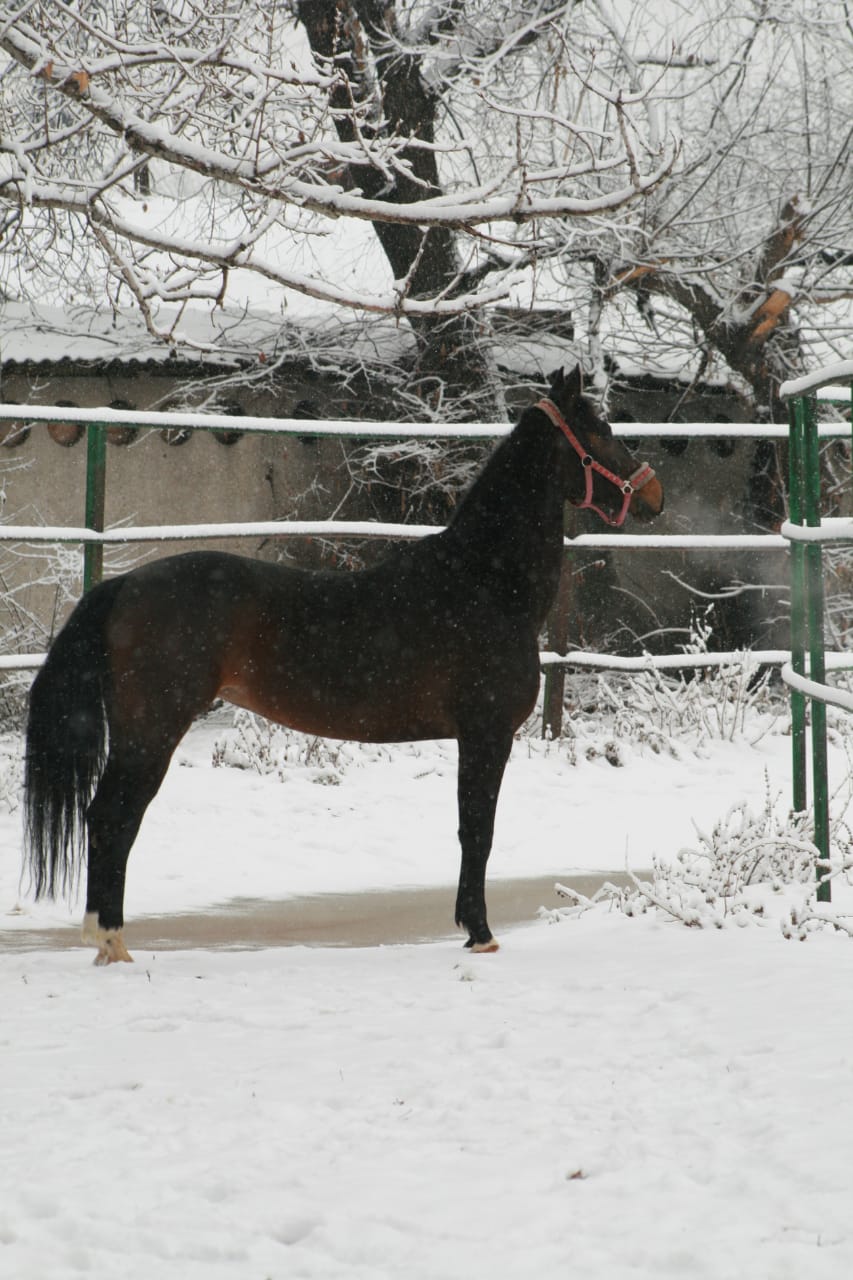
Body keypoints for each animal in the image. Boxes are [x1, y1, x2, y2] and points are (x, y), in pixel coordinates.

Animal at [23, 366, 663, 964]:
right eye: (601, 430)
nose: (653, 495)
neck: (481, 580)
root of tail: (125, 585)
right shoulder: (486, 734)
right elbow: (477, 831)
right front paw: (479, 933)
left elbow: (470, 830)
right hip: (151, 732)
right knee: (113, 819)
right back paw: (111, 942)